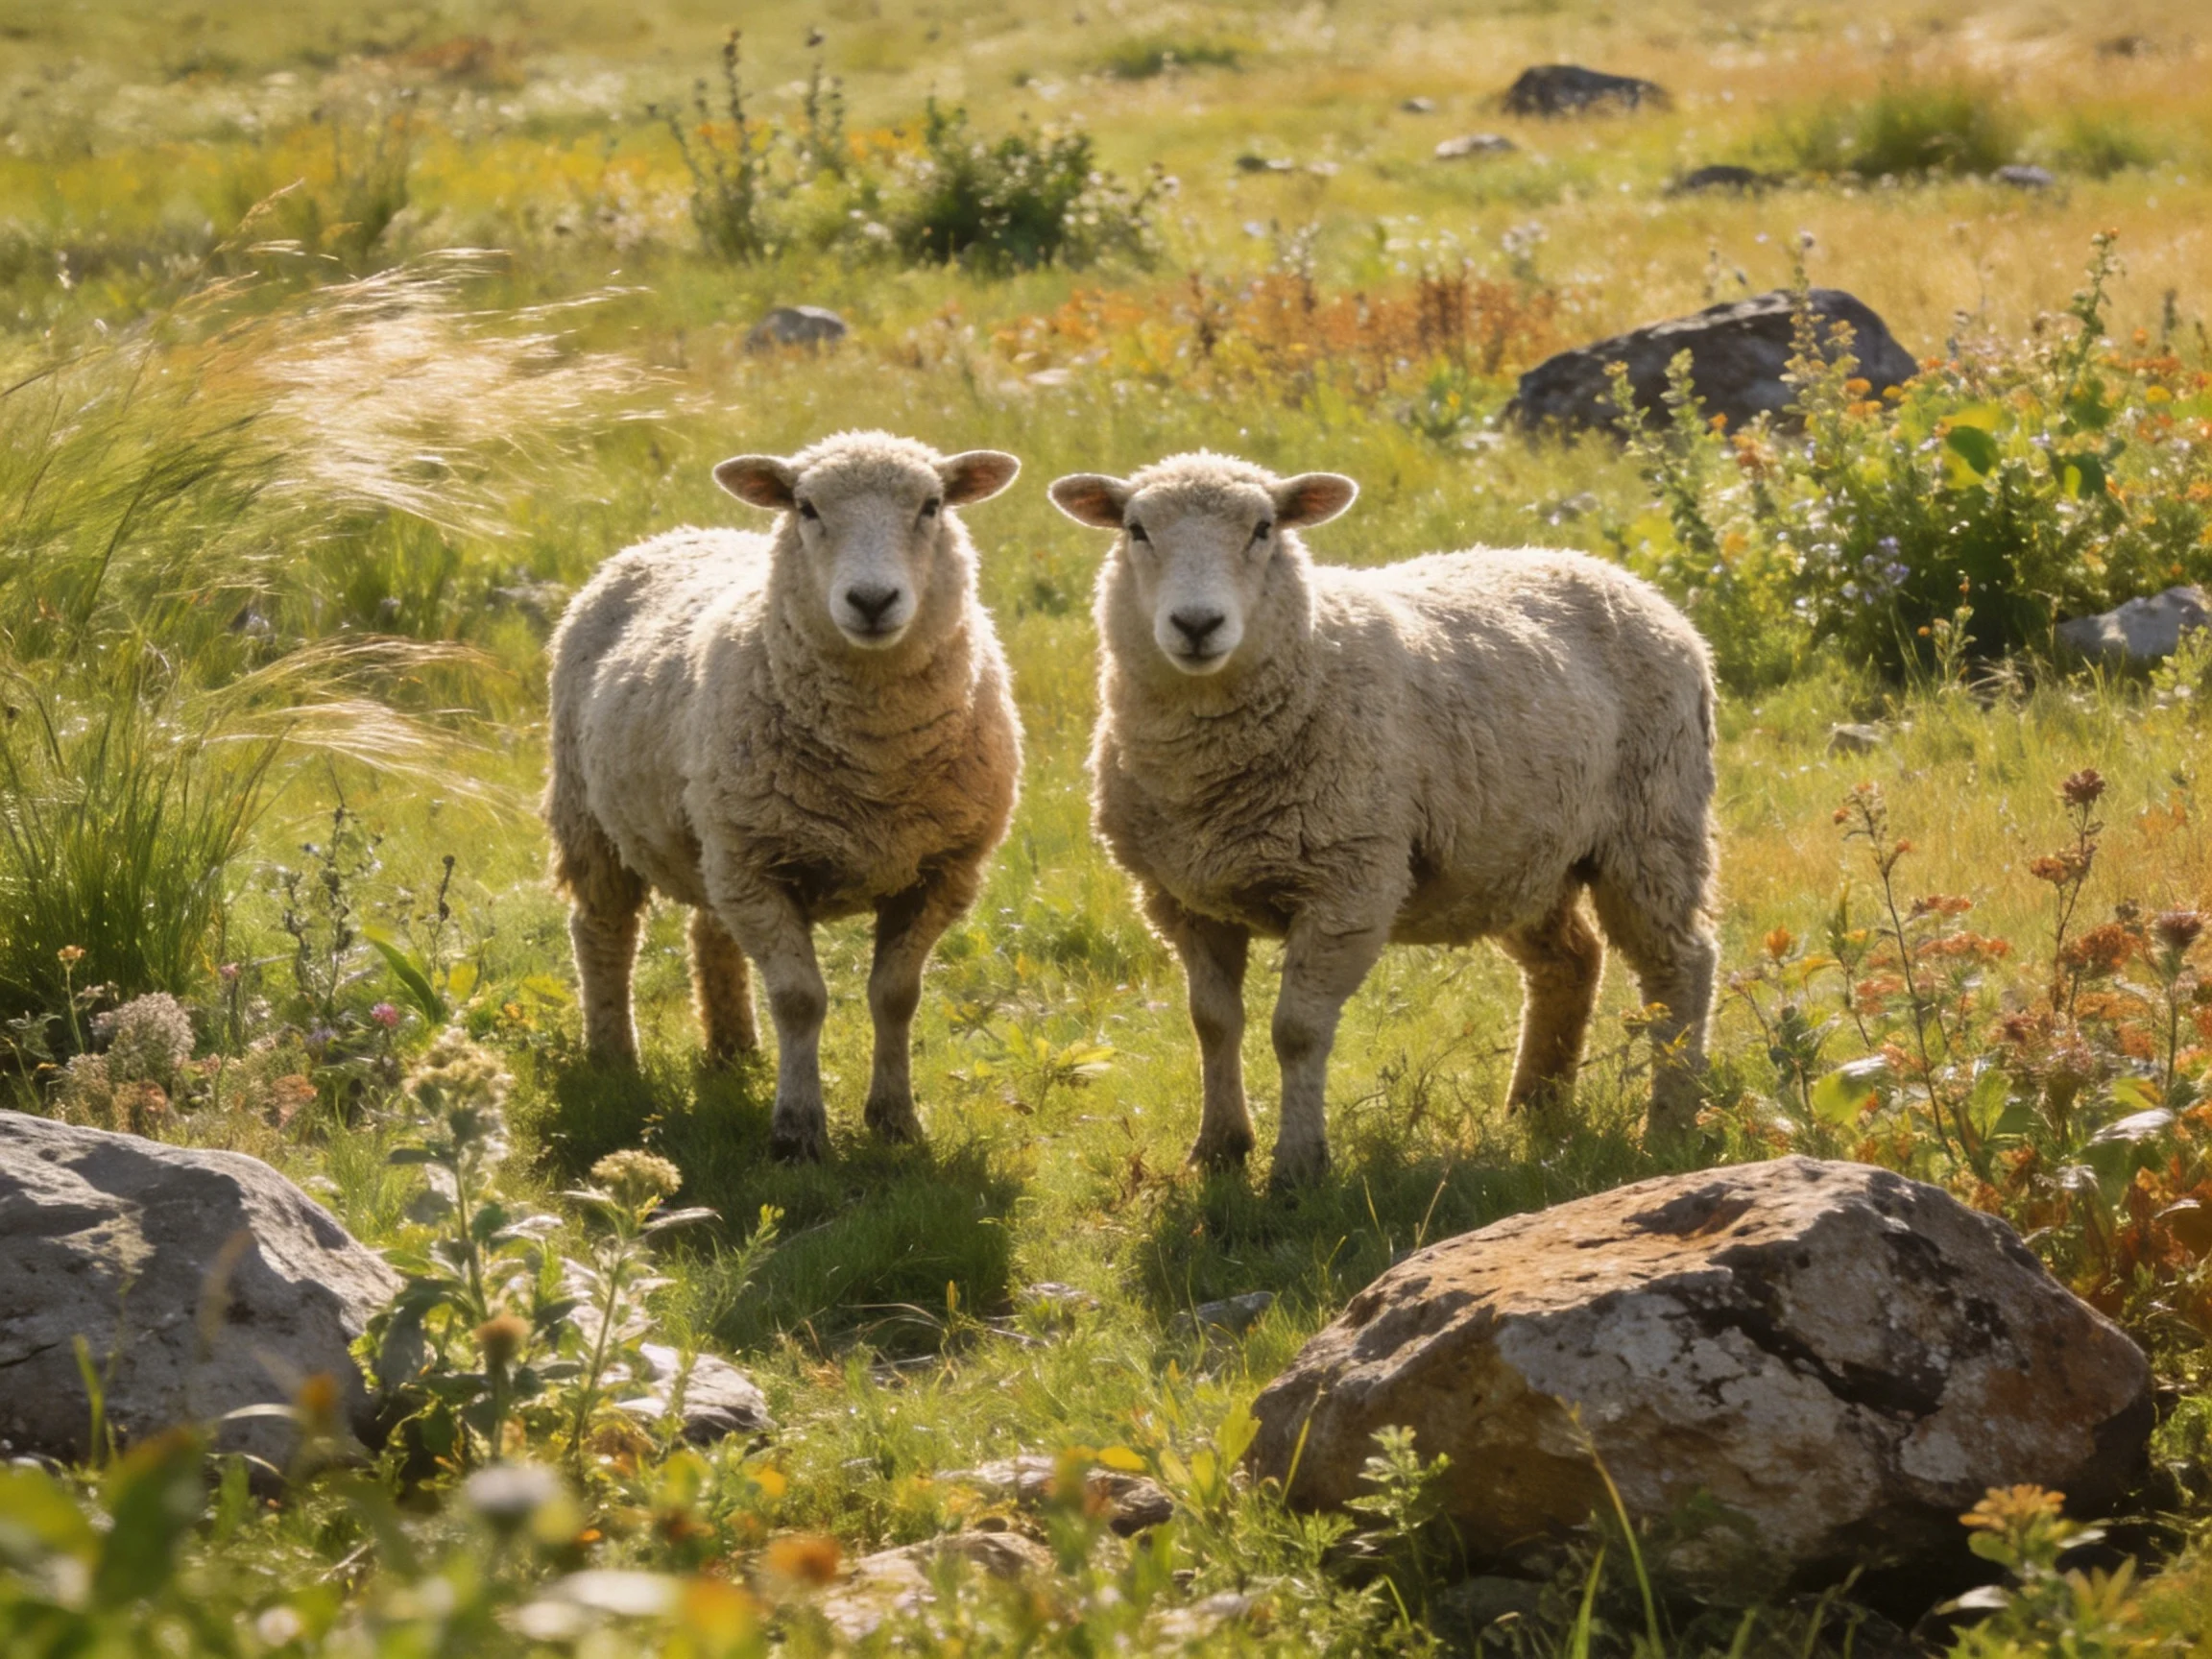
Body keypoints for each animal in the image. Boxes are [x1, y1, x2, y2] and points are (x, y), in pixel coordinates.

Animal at [545, 431, 1024, 1162]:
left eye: (932, 506)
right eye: (807, 508)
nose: (872, 600)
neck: (875, 762)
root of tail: (678, 533)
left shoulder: (939, 872)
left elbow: (897, 996)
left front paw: (896, 1120)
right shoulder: (759, 865)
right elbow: (800, 1000)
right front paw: (797, 1131)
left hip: (716, 833)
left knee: (707, 929)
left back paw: (732, 1049)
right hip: (592, 814)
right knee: (603, 930)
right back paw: (613, 1058)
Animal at [1050, 451, 1718, 1185]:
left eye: (1263, 528)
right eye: (1136, 530)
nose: (1197, 625)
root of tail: (1627, 580)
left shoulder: (1349, 885)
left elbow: (1296, 1032)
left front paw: (1298, 1167)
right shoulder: (1182, 898)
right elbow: (1212, 1023)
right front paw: (1219, 1150)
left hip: (1653, 823)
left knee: (1680, 965)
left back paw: (1669, 1121)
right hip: (1519, 856)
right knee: (1570, 961)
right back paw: (1534, 1109)